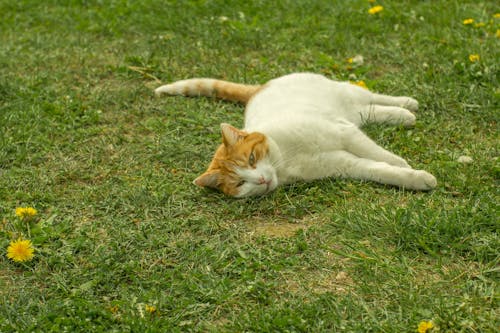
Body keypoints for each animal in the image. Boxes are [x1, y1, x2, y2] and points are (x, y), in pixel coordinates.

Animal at [154, 72, 436, 197]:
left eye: (252, 159)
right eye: (239, 183)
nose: (260, 180)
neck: (285, 158)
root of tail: (259, 88)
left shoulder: (344, 133)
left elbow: (379, 154)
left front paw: (402, 163)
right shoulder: (344, 162)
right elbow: (379, 169)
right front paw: (414, 178)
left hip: (346, 94)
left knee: (372, 97)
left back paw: (407, 104)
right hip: (352, 112)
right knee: (368, 111)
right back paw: (402, 115)